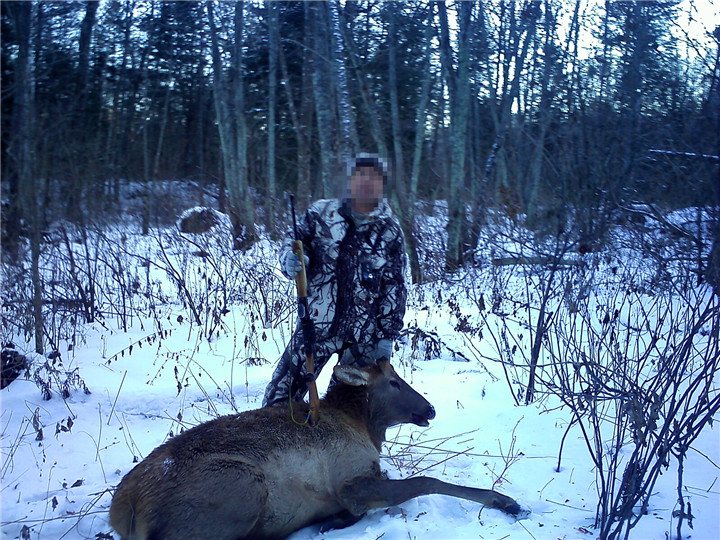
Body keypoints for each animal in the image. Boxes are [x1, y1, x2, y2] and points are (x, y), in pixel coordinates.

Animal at [108, 358, 524, 540]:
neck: (363, 426)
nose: (430, 408)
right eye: (393, 381)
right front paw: (505, 501)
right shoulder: (349, 478)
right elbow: (424, 481)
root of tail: (125, 508)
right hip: (240, 485)